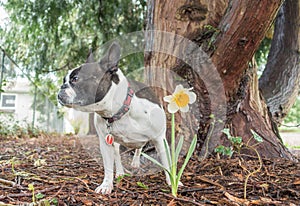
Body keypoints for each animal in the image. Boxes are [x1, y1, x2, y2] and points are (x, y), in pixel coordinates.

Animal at [57, 42, 171, 195]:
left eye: (75, 79)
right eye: (64, 80)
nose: (61, 86)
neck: (118, 111)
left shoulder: (160, 138)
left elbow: (166, 162)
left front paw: (174, 183)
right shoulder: (105, 143)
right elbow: (108, 167)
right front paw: (106, 185)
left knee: (139, 148)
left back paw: (135, 162)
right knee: (118, 154)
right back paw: (121, 172)